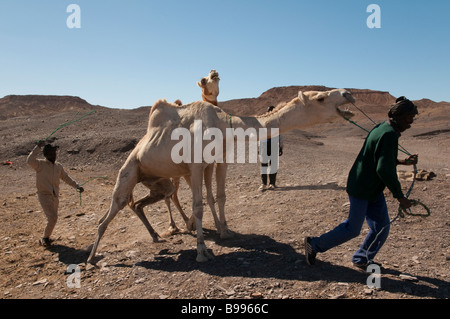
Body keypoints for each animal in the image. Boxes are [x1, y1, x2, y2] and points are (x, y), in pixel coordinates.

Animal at [88, 87, 356, 262]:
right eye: (321, 97)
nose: (348, 93)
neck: (224, 125)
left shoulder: (217, 161)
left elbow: (218, 196)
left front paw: (225, 231)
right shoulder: (197, 165)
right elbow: (198, 205)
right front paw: (202, 252)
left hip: (158, 179)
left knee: (150, 200)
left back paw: (159, 235)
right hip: (130, 169)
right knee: (113, 209)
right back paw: (91, 257)